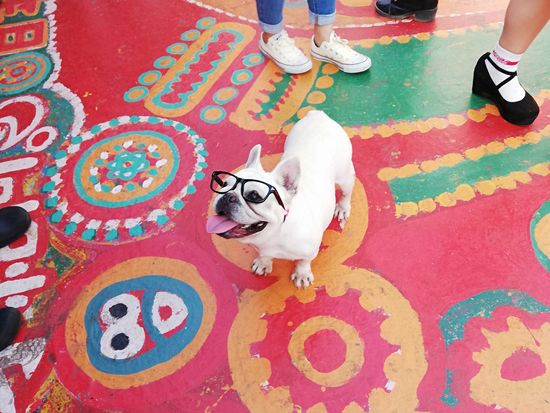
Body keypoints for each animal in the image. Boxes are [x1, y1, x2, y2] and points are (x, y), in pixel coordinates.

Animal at [206, 110, 355, 287]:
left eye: (254, 195)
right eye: (224, 184)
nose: (228, 196)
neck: (274, 233)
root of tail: (318, 115)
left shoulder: (310, 250)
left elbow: (304, 261)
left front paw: (302, 274)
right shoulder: (262, 249)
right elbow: (264, 255)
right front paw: (263, 263)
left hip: (344, 176)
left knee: (346, 192)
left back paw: (342, 207)